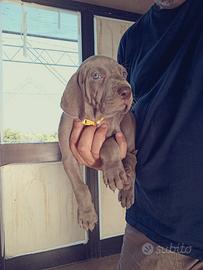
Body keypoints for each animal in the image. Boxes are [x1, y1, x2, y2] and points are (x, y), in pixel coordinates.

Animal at [58, 56, 136, 231]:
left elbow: (109, 144)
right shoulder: (68, 158)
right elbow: (80, 187)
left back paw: (127, 186)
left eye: (124, 73)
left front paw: (114, 172)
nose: (127, 91)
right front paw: (87, 215)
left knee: (132, 160)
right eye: (96, 76)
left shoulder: (113, 132)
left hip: (127, 126)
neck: (92, 119)